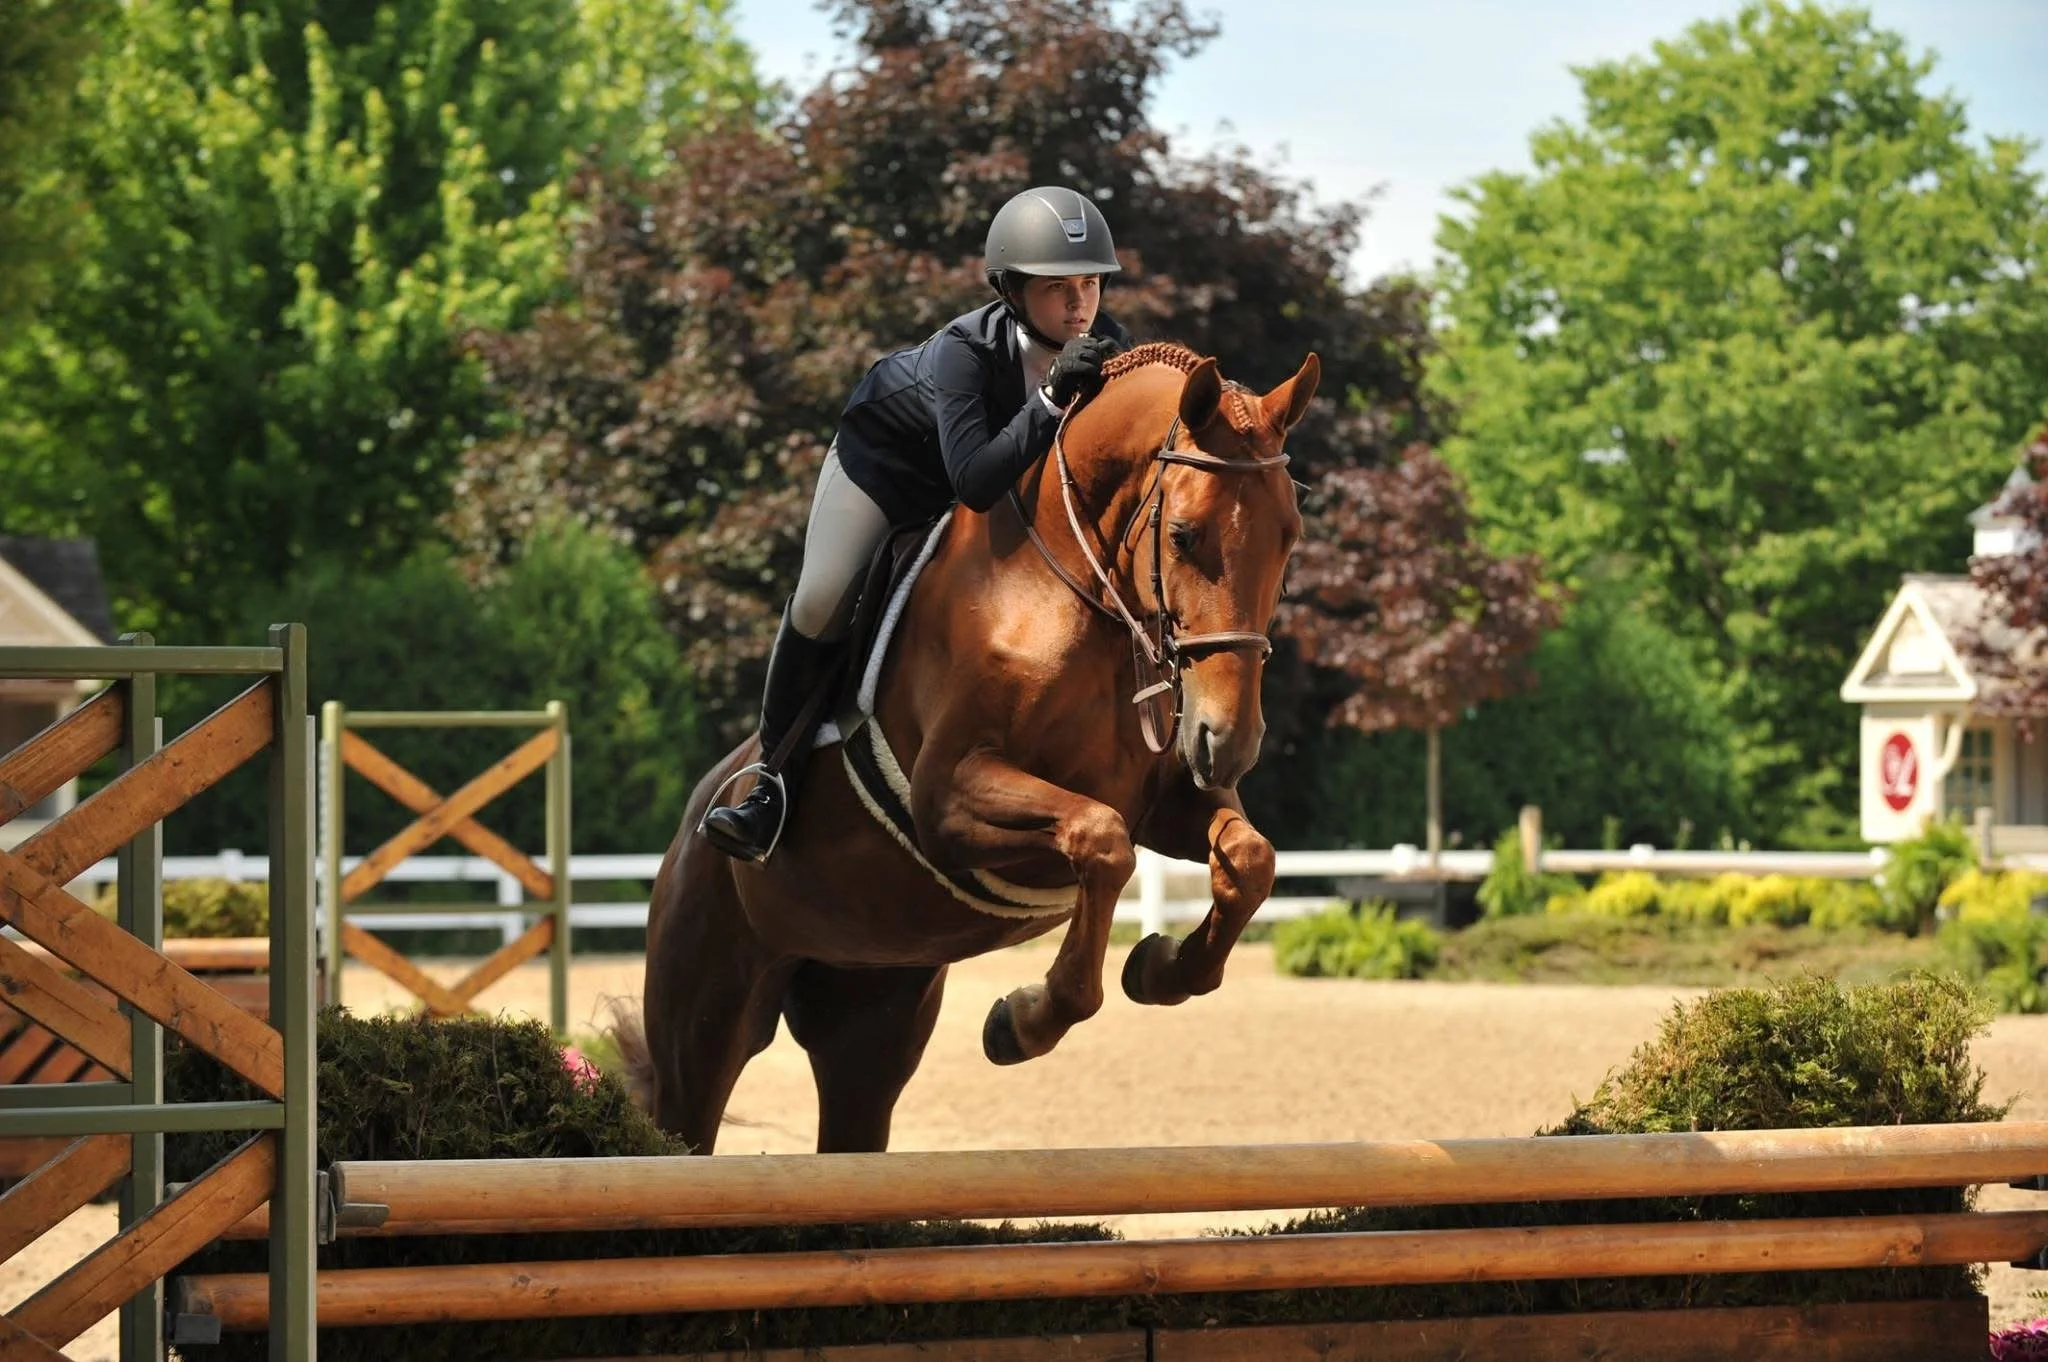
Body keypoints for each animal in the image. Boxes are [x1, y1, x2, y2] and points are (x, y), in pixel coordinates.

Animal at [616, 342, 1319, 1153]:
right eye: (1182, 535)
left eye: (1289, 535)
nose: (1229, 742)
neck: (1065, 594)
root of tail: (694, 821)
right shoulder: (946, 799)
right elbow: (1101, 842)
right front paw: (1023, 1021)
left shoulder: (1168, 800)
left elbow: (1248, 858)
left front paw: (1160, 968)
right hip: (705, 1020)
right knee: (685, 1116)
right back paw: (752, 815)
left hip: (870, 1021)